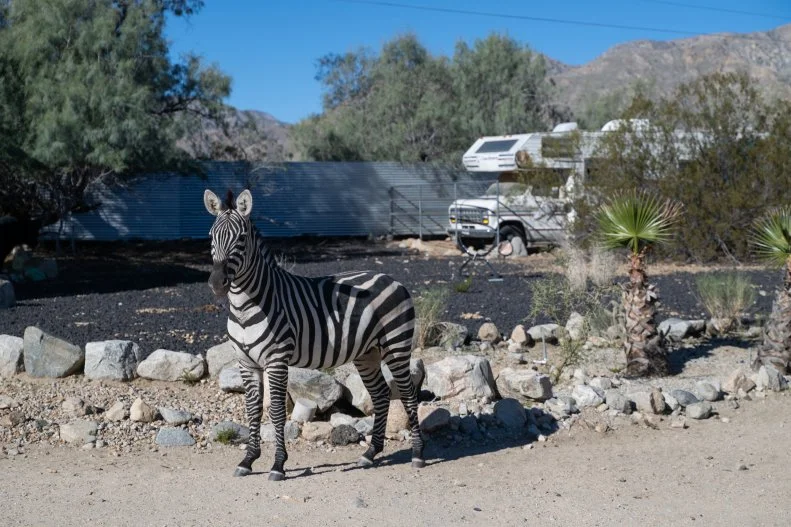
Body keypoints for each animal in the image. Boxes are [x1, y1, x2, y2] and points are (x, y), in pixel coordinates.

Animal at [203, 188, 425, 481]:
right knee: (380, 395)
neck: (245, 307)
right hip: (367, 353)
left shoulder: (277, 360)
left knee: (408, 394)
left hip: (396, 345)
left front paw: (278, 464)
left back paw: (418, 454)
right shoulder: (246, 362)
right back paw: (370, 453)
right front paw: (248, 460)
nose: (217, 283)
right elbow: (252, 410)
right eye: (211, 236)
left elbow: (276, 411)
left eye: (240, 238)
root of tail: (392, 279)